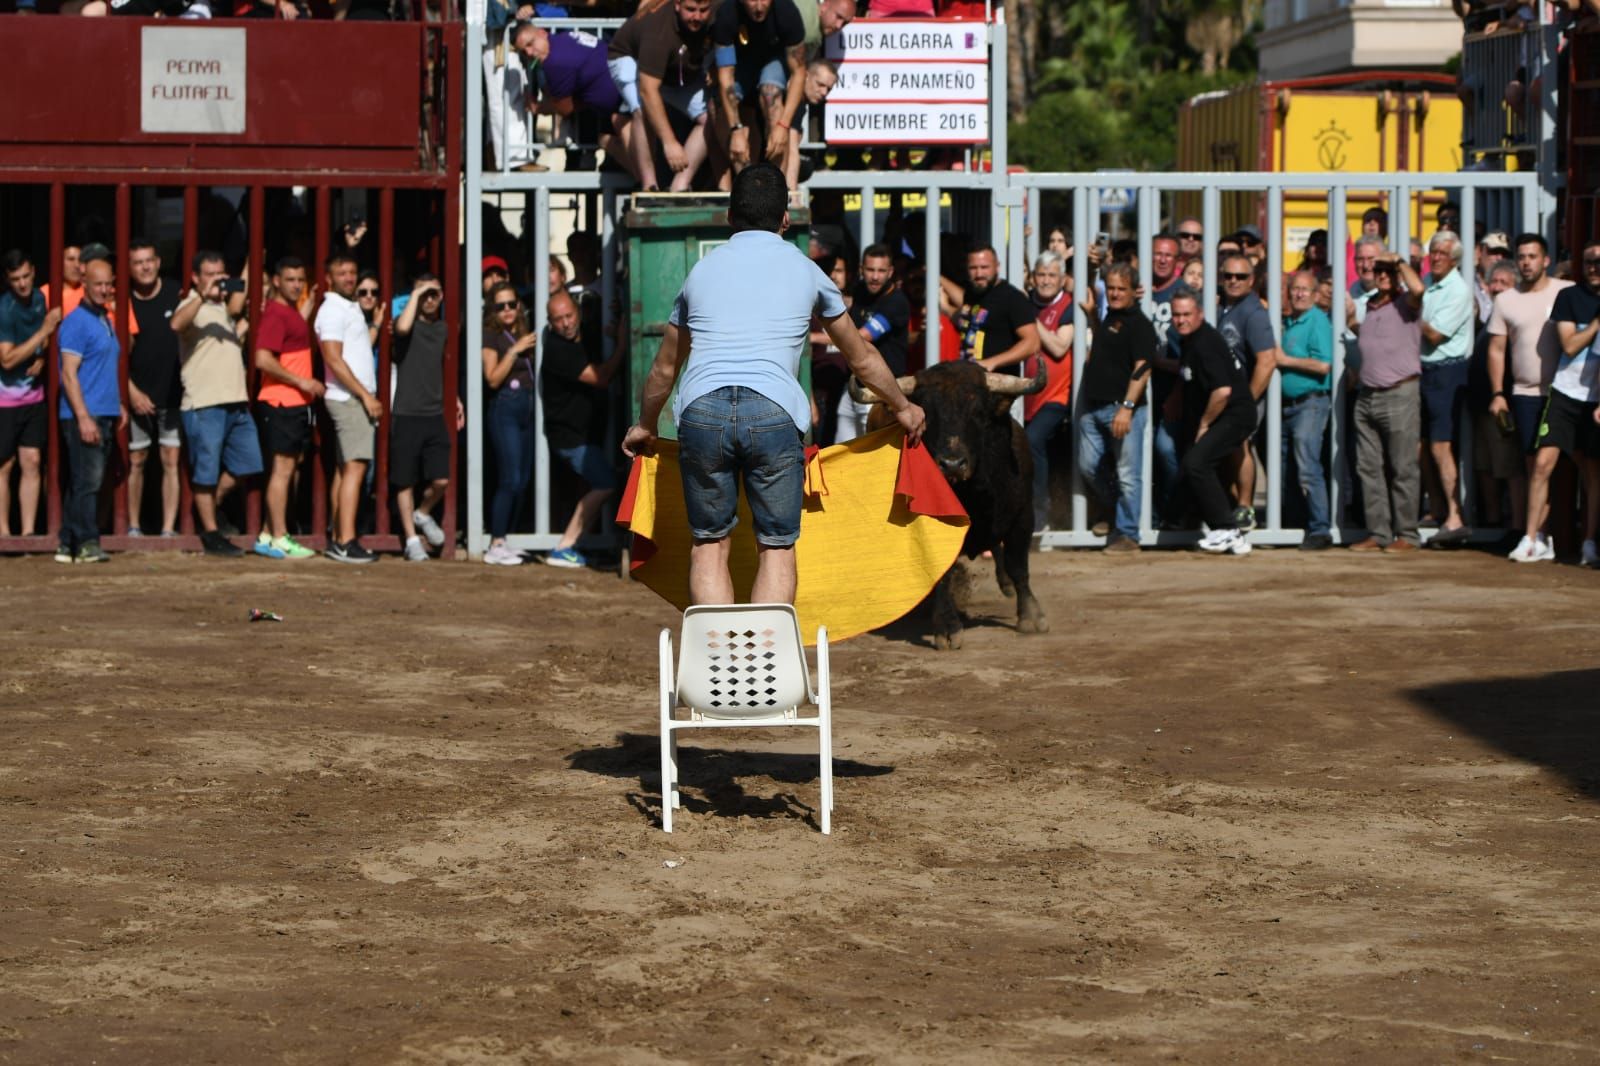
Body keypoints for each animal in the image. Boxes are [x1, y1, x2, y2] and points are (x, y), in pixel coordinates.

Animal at [851, 361, 1049, 646]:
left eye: (978, 412)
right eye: (927, 415)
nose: (952, 464)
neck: (974, 493)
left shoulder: (1023, 516)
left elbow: (1018, 565)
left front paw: (1031, 617)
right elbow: (942, 574)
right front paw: (947, 627)